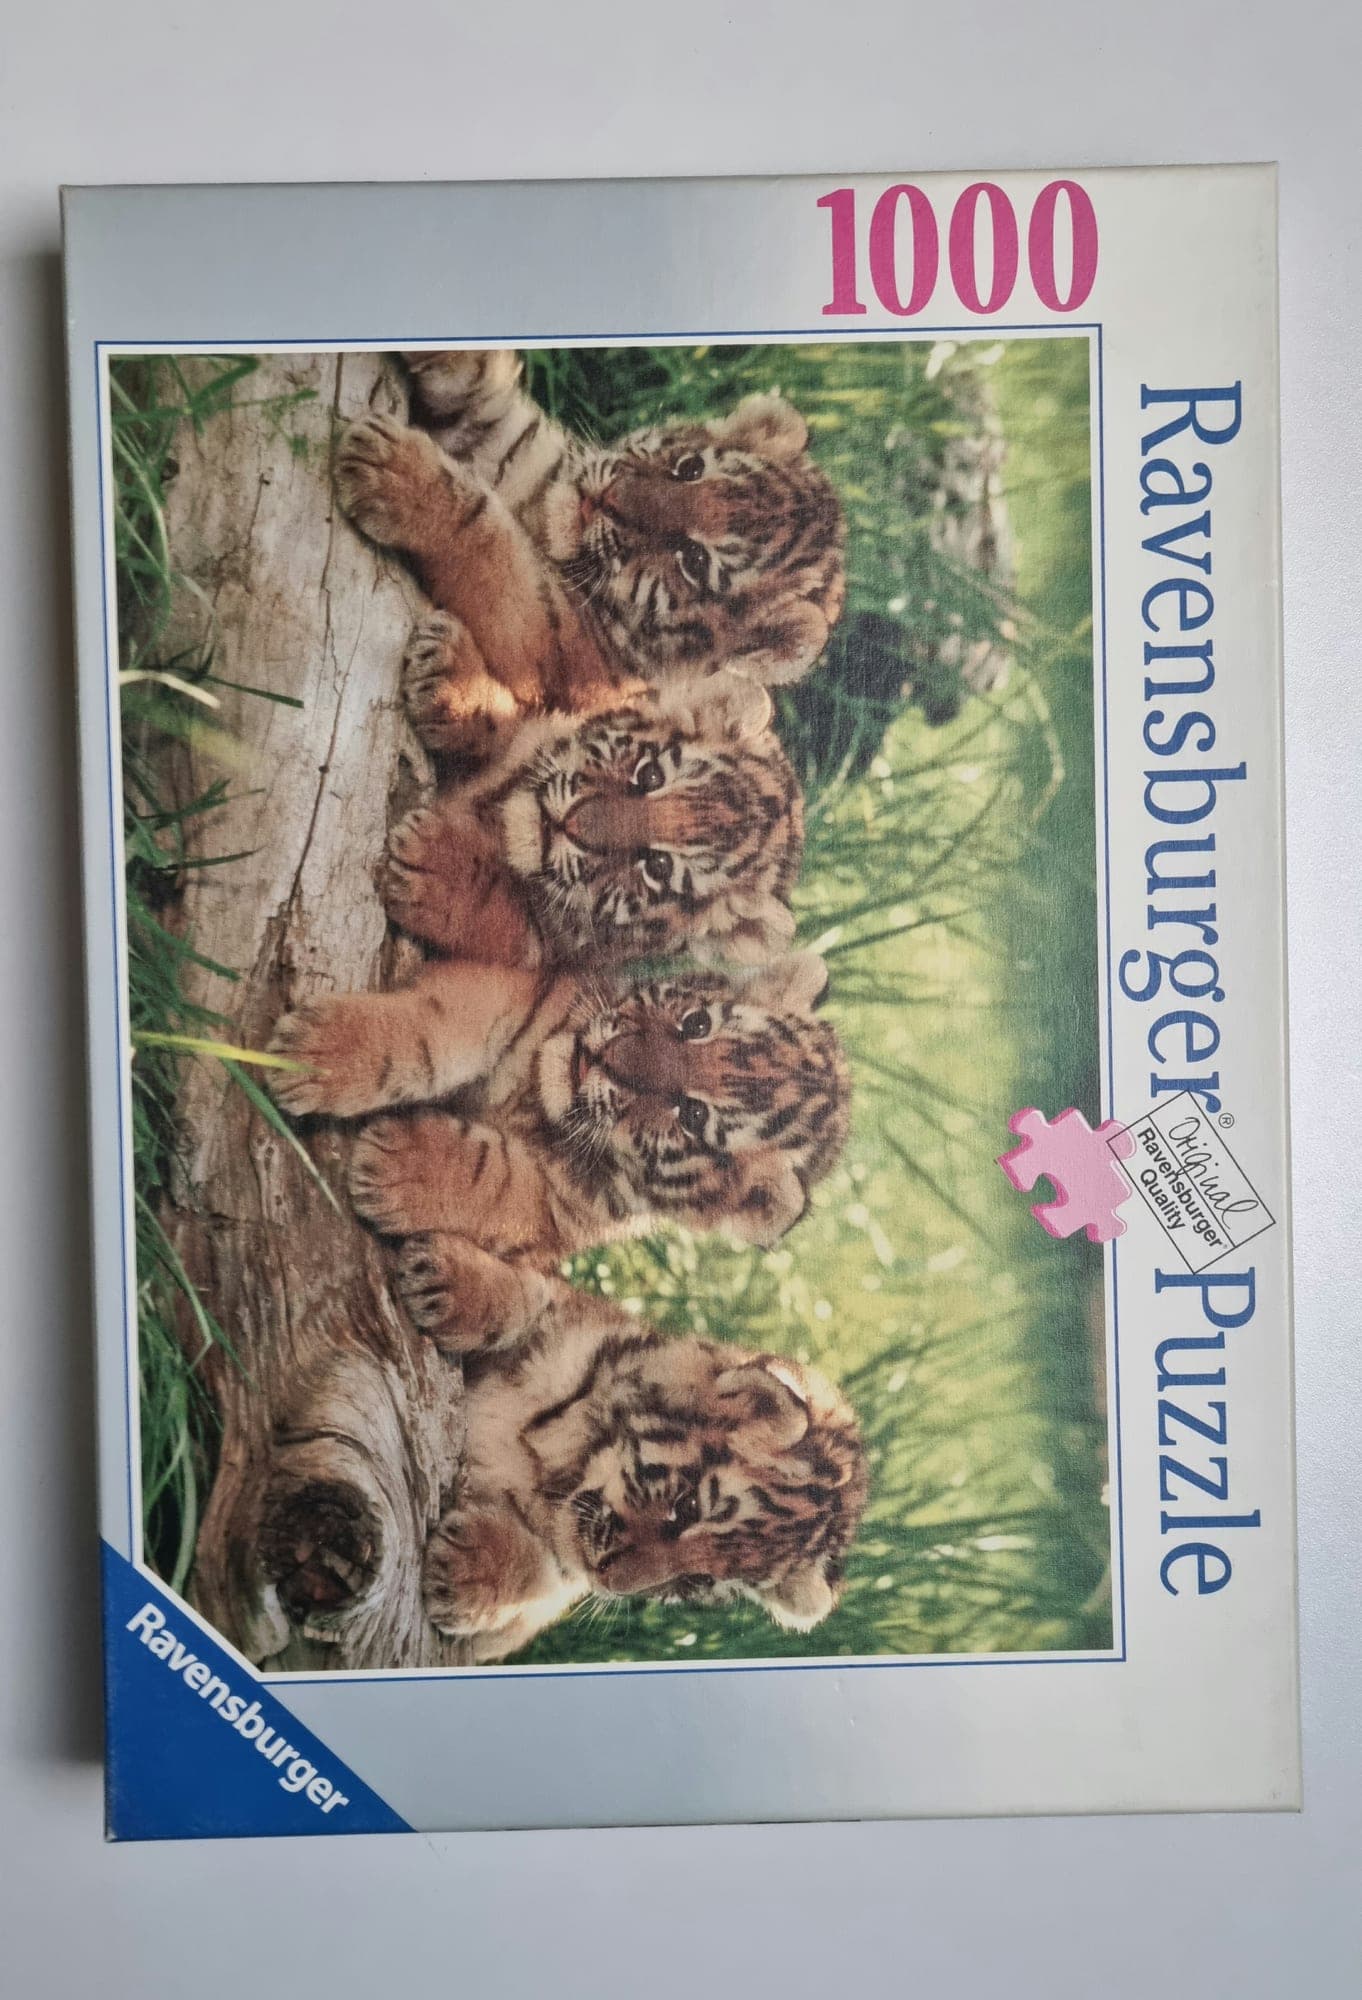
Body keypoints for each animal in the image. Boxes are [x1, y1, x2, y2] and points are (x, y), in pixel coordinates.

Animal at [268, 952, 849, 1353]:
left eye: (693, 1117)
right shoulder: (525, 992)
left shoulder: (566, 1209)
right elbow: (436, 1028)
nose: (607, 1062)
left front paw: (399, 1165)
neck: (535, 1105)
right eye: (697, 1024)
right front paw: (310, 1056)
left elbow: (505, 1186)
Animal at [334, 349, 847, 758]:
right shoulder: (524, 453)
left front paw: (393, 470)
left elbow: (491, 539)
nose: (606, 501)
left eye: (694, 560)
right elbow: (482, 384)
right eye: (690, 468)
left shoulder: (558, 641)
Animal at [383, 666, 803, 970]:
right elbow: (511, 721)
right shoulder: (532, 737)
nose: (569, 825)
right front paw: (442, 666)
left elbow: (499, 908)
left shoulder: (550, 946)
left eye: (659, 866)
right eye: (651, 776)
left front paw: (429, 864)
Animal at [422, 1279, 868, 1660]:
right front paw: (442, 1279)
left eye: (698, 1580)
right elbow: (532, 1294)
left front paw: (466, 1571)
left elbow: (542, 1579)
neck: (559, 1467)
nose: (610, 1582)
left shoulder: (533, 1606)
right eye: (688, 1506)